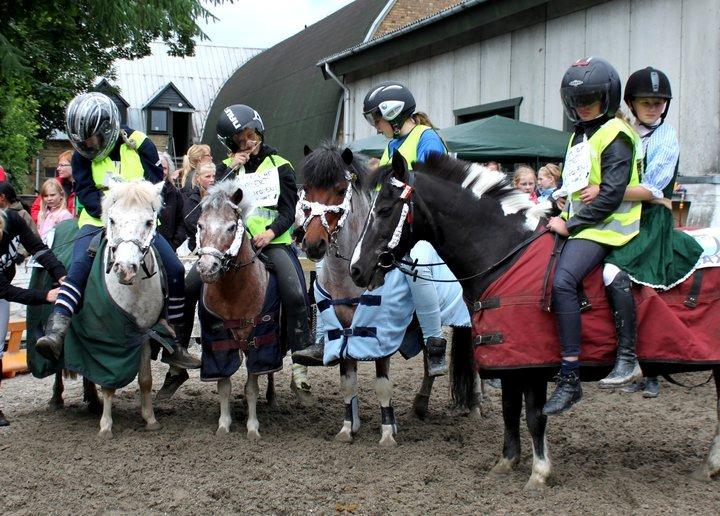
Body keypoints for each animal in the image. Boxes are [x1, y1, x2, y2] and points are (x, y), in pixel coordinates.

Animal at [298, 143, 484, 446]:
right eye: (307, 189)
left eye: (340, 189)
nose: (313, 244)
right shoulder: (344, 331)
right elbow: (347, 382)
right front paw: (347, 428)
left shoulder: (379, 331)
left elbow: (382, 384)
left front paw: (387, 433)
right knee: (429, 360)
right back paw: (420, 404)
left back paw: (477, 406)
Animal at [346, 152, 716, 488]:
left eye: (384, 210)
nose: (356, 269)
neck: (507, 253)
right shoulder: (510, 361)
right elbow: (510, 410)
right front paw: (507, 462)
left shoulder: (532, 363)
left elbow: (535, 416)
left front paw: (539, 473)